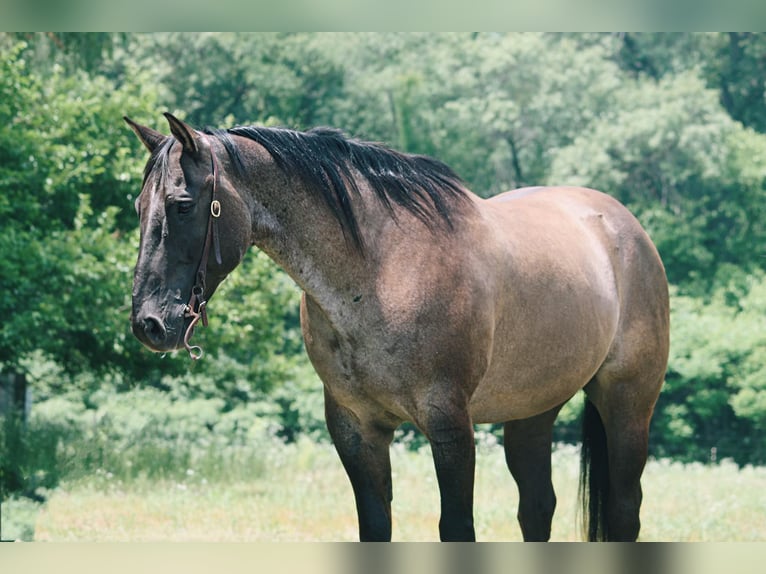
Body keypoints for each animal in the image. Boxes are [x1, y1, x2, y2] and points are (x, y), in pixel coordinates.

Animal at [123, 113, 668, 544]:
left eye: (183, 205)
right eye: (139, 207)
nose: (150, 323)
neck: (380, 271)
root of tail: (624, 227)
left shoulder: (450, 426)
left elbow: (457, 530)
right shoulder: (356, 429)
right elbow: (376, 528)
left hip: (627, 405)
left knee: (625, 513)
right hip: (533, 412)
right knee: (537, 509)